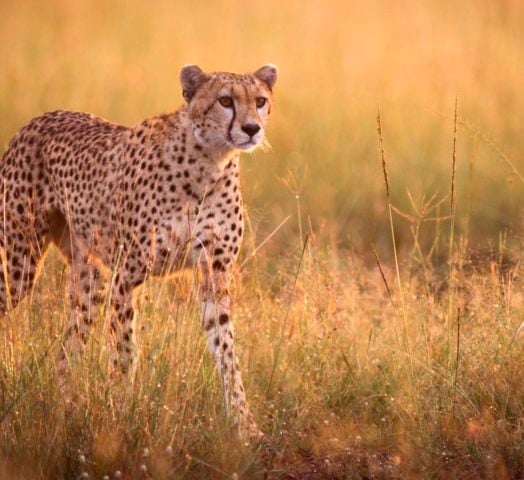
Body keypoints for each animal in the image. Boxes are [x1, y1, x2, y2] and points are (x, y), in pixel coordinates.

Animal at [0, 64, 278, 442]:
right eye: (225, 101)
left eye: (260, 101)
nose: (251, 128)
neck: (209, 162)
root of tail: (40, 118)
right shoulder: (126, 276)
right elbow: (125, 352)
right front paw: (123, 416)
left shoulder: (214, 273)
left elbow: (227, 352)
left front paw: (244, 424)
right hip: (19, 265)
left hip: (89, 281)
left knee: (67, 350)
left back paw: (65, 409)